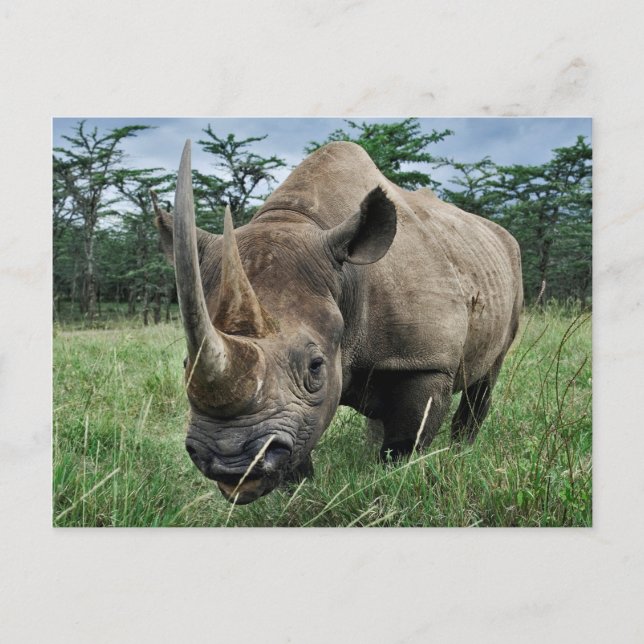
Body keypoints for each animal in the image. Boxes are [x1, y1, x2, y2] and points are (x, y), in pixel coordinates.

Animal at [154, 140, 523, 504]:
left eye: (315, 366)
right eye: (186, 364)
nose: (230, 463)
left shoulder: (426, 362)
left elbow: (405, 443)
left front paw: (393, 483)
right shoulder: (300, 410)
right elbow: (302, 443)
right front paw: (300, 495)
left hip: (509, 264)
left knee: (487, 375)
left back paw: (461, 452)